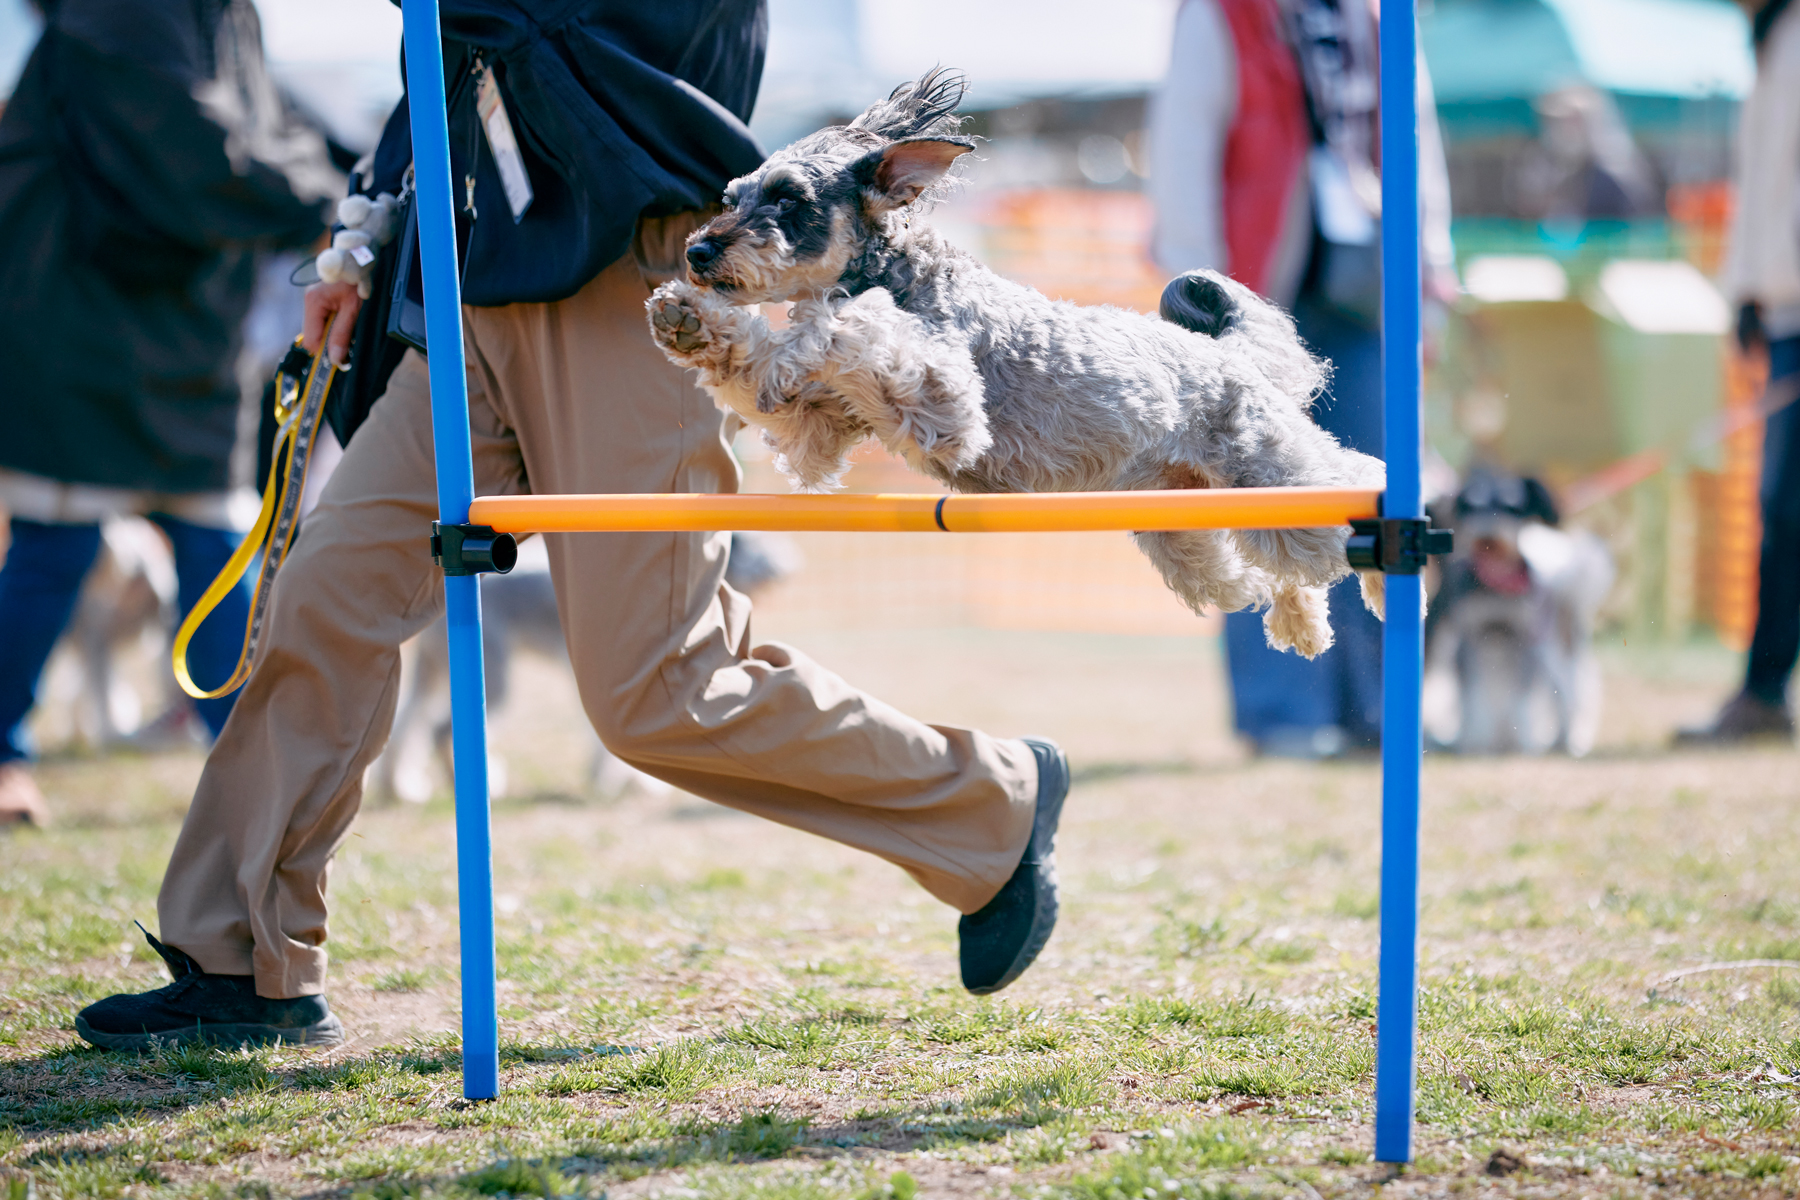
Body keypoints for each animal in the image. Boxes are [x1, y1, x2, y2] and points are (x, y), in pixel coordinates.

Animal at [651, 70, 1389, 662]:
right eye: (733, 197)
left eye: (789, 200)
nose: (699, 252)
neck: (906, 276)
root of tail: (1225, 354)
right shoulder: (825, 430)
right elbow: (777, 383)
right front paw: (691, 324)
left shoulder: (944, 401)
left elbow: (847, 324)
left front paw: (799, 338)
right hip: (1189, 536)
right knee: (1268, 575)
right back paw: (1300, 624)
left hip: (1276, 477)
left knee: (1353, 485)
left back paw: (1386, 567)